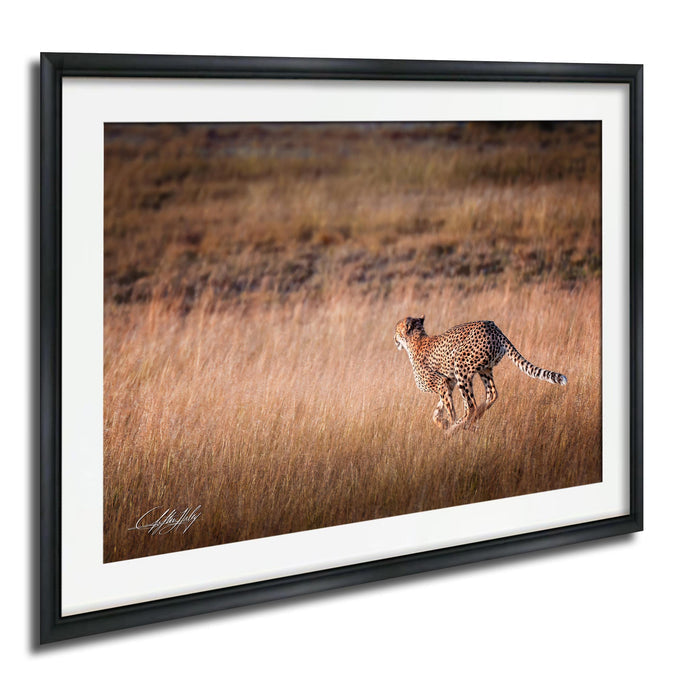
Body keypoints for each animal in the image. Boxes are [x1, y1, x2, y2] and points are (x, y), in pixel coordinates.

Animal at [394, 315, 567, 431]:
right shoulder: (448, 382)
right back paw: (474, 418)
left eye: (396, 329)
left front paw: (449, 424)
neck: (416, 340)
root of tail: (493, 327)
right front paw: (442, 422)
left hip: (461, 366)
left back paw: (458, 427)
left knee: (471, 406)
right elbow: (439, 408)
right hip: (484, 369)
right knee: (491, 394)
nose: (394, 338)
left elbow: (449, 408)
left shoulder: (442, 382)